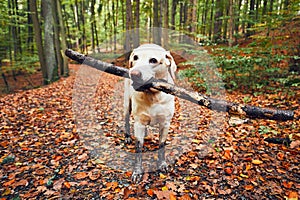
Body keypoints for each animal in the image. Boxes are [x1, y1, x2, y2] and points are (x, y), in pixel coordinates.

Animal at [123, 43, 177, 183]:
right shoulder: (138, 123)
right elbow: (138, 148)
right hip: (126, 105)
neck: (153, 96)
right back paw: (127, 137)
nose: (133, 74)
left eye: (153, 60)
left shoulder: (165, 123)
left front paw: (162, 164)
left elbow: (162, 145)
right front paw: (137, 172)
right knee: (126, 121)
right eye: (135, 57)